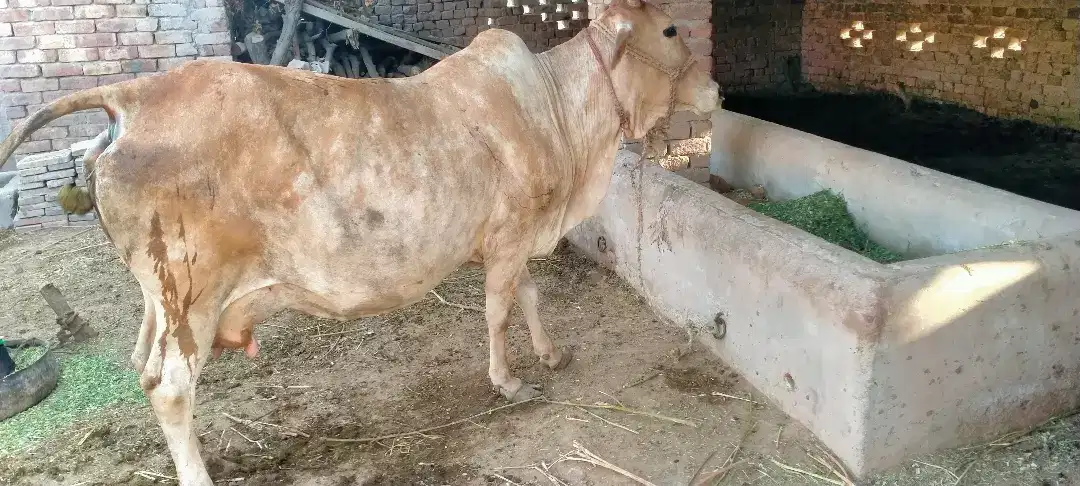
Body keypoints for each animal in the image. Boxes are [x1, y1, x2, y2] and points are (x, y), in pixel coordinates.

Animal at [0, 0, 719, 482]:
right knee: (172, 389)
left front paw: (550, 354)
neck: (555, 109)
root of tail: (132, 95)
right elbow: (496, 312)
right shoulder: (512, 231)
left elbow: (530, 296)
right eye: (670, 29)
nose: (714, 89)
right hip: (193, 297)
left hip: (161, 299)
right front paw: (507, 381)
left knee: (143, 365)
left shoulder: (508, 237)